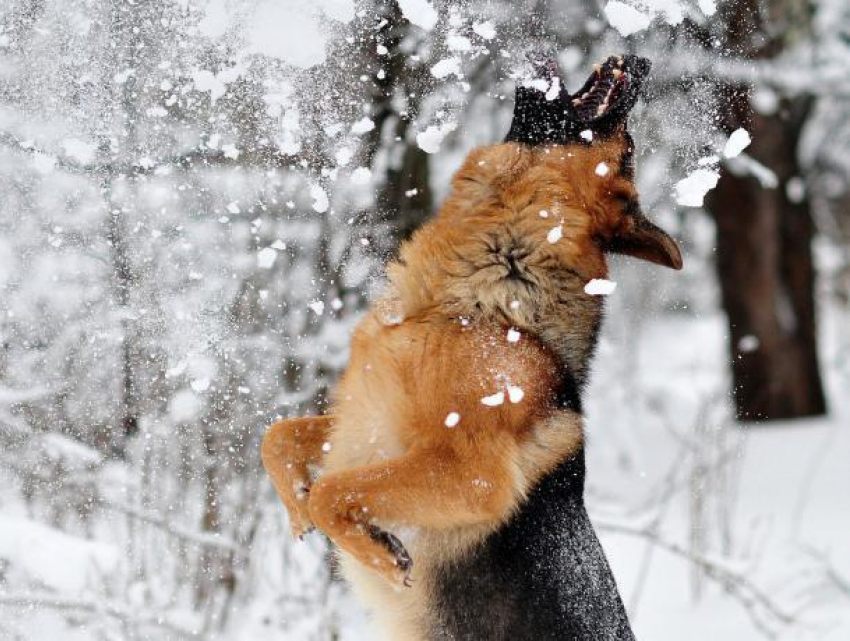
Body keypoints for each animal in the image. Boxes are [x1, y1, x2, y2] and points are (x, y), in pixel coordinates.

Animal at [262, 56, 680, 640]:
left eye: (630, 148)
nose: (642, 61)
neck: (481, 302)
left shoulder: (472, 474)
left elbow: (332, 491)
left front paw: (378, 552)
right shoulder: (362, 424)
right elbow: (278, 438)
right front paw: (297, 508)